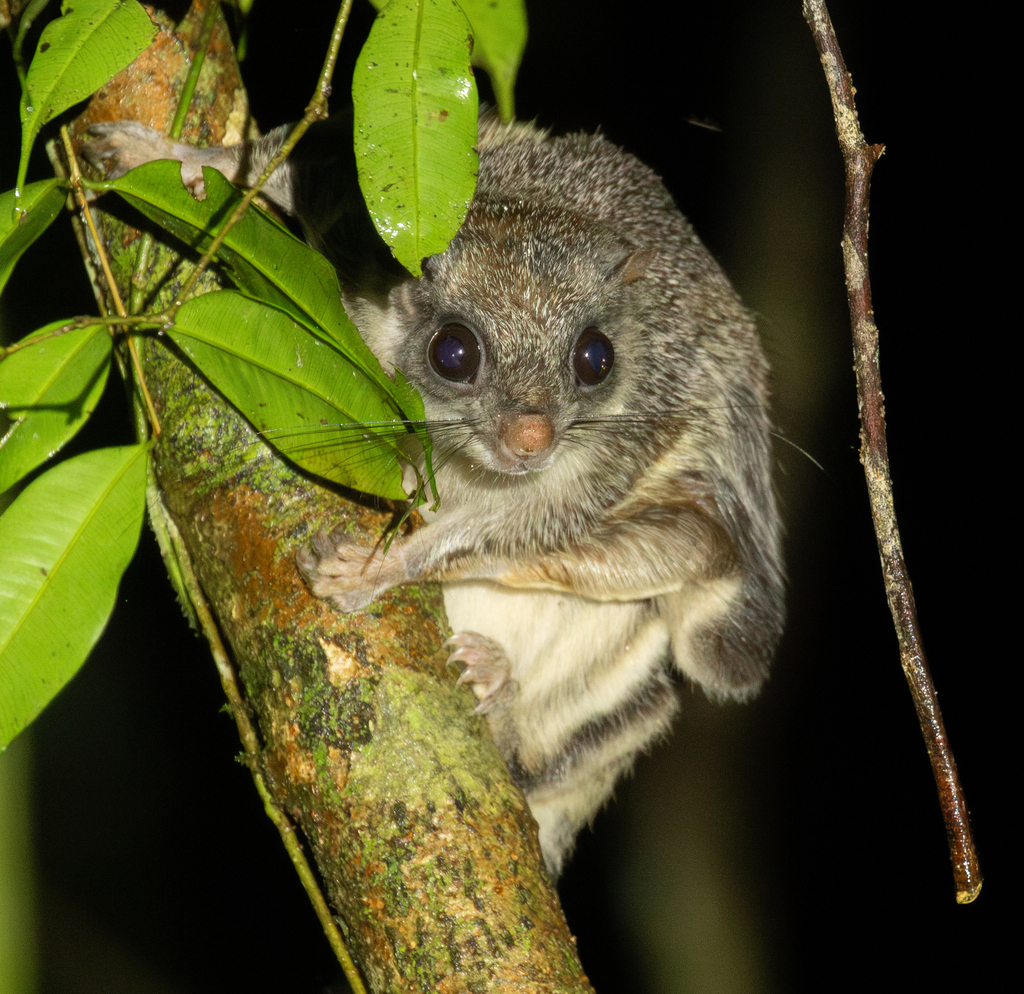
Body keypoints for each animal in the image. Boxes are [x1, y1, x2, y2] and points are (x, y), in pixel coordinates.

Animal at [86, 111, 785, 875]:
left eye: (596, 359)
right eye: (454, 353)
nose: (532, 438)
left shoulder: (632, 435)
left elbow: (538, 523)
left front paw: (378, 569)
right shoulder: (368, 220)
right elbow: (291, 164)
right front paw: (170, 156)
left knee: (680, 608)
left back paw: (497, 684)